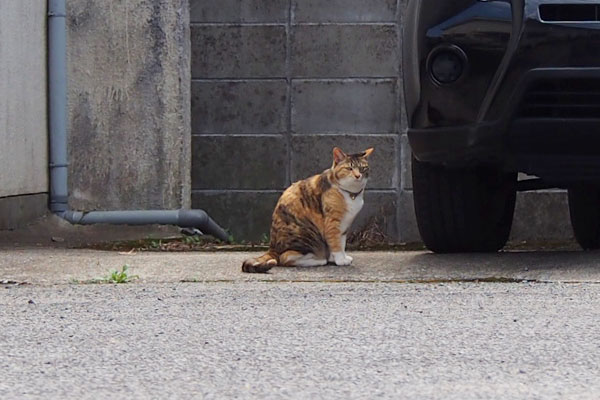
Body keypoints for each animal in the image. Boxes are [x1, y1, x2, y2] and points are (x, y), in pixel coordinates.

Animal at [241, 145, 372, 274]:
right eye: (349, 168)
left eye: (363, 168)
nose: (358, 176)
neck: (351, 194)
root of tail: (272, 248)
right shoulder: (332, 223)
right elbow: (335, 242)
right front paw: (340, 260)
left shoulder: (344, 225)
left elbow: (342, 242)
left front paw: (340, 258)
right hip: (307, 236)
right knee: (285, 258)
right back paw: (318, 260)